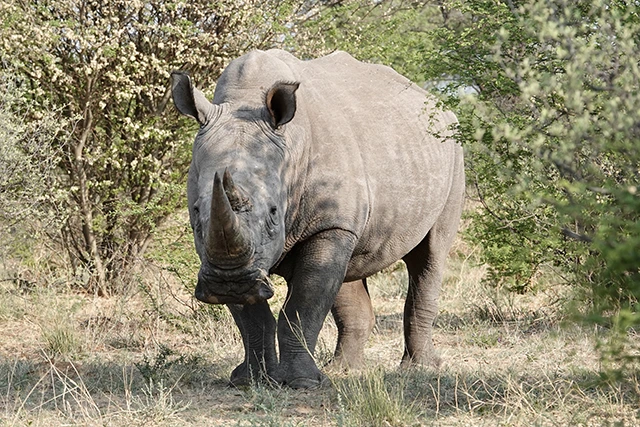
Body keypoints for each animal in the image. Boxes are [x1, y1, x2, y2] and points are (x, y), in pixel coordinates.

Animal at [171, 49, 464, 389]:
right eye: (196, 212)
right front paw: (250, 381)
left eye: (274, 212)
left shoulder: (327, 224)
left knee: (430, 254)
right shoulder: (220, 252)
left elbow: (304, 304)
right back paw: (343, 371)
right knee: (349, 267)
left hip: (453, 152)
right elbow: (253, 318)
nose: (230, 283)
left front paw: (301, 383)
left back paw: (420, 369)